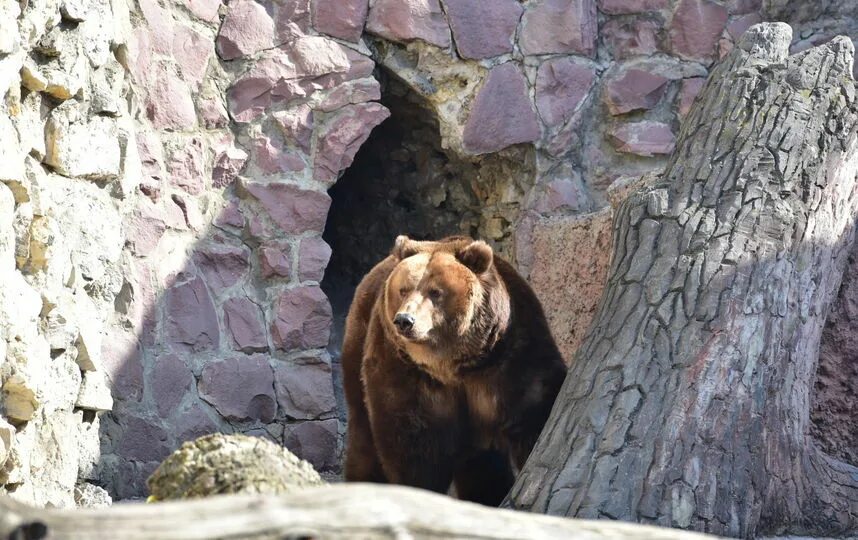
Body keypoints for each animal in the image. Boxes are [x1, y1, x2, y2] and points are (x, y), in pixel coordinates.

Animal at [338, 233, 564, 506]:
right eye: (403, 289)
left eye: (435, 292)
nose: (405, 320)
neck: (456, 365)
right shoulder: (407, 373)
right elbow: (415, 443)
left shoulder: (510, 358)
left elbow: (532, 413)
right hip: (358, 347)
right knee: (363, 436)